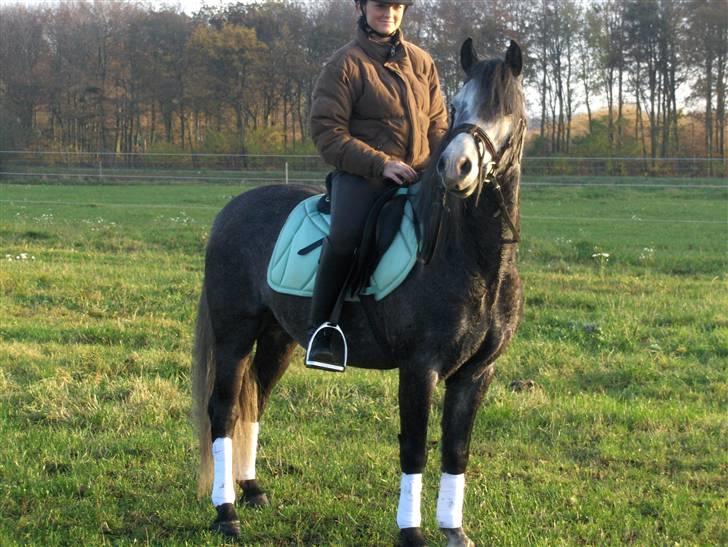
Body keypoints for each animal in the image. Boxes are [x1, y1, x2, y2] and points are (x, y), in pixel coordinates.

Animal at [192, 38, 527, 547]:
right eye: (458, 105)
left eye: (507, 109)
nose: (457, 167)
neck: (471, 258)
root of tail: (232, 209)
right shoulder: (420, 369)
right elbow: (414, 449)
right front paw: (411, 533)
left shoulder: (475, 374)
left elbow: (456, 450)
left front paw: (454, 530)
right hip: (234, 335)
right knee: (224, 410)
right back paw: (225, 511)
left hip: (278, 338)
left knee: (256, 400)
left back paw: (251, 490)